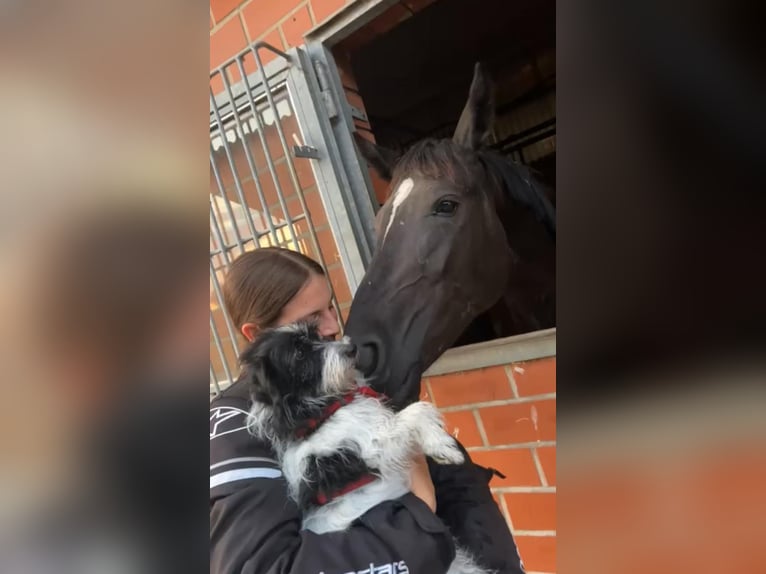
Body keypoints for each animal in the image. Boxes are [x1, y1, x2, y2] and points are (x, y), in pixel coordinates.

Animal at [242, 324, 492, 574]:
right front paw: (443, 447)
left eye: (318, 335)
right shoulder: (370, 446)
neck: (324, 410)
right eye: (300, 354)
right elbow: (418, 410)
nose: (351, 348)